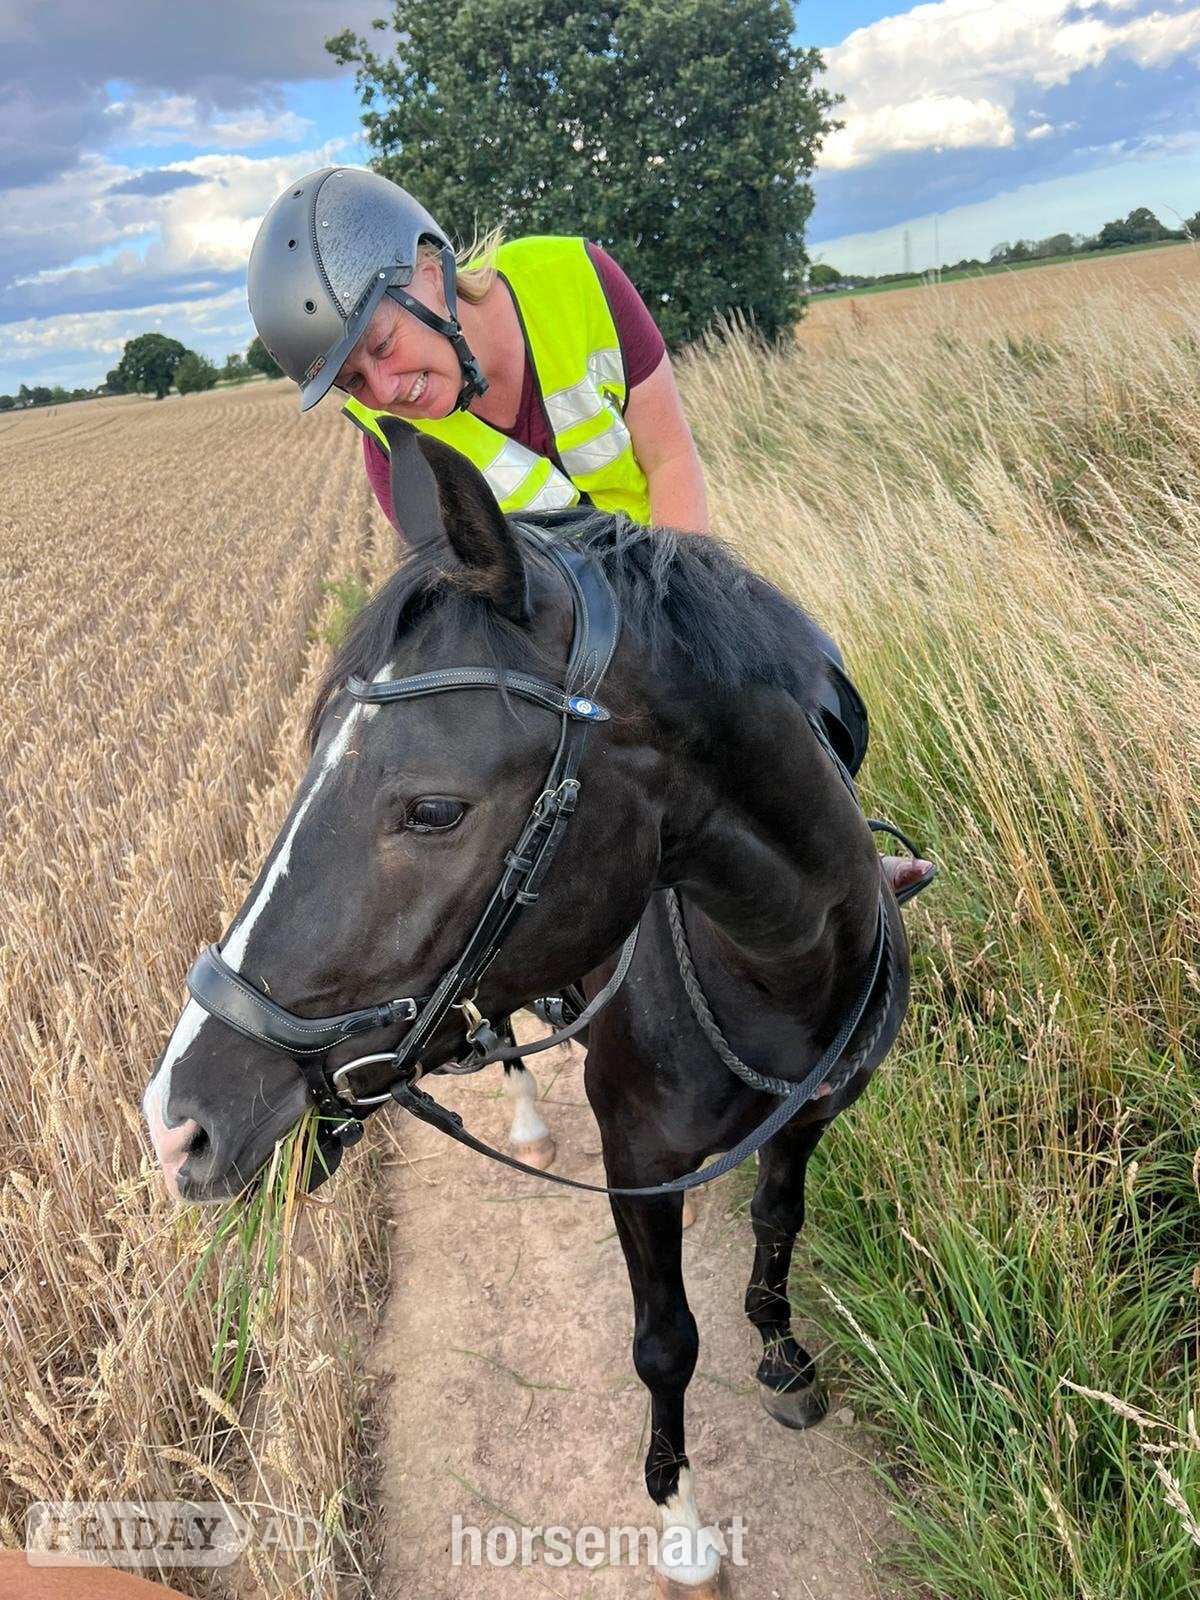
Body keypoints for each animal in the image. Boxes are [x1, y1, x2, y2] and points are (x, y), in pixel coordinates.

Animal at [143, 418, 913, 1597]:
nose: (178, 1118)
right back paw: (525, 1117)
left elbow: (779, 1225)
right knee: (503, 1041)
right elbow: (665, 1341)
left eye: (433, 809)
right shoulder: (636, 1161)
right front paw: (681, 1522)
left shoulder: (812, 1115)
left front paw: (783, 1356)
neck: (777, 974)